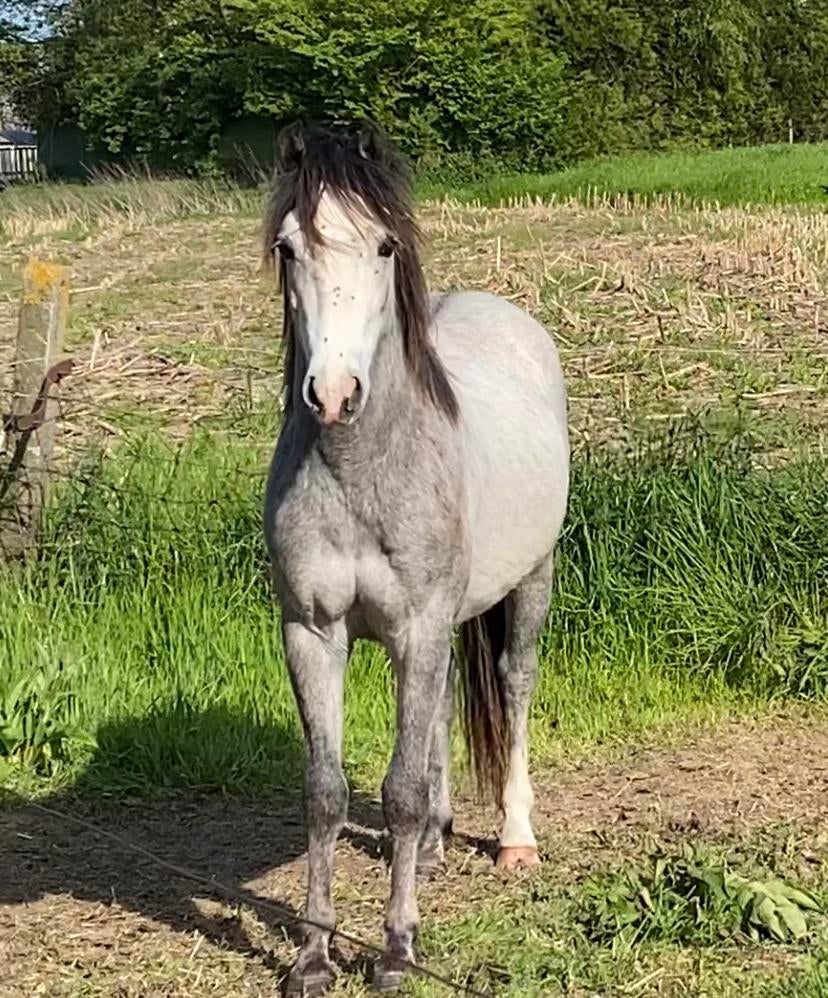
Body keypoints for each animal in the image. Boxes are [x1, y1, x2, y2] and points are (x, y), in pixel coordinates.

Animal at [262, 121, 570, 994]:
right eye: (289, 248)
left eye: (385, 245)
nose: (333, 394)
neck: (361, 471)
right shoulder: (312, 633)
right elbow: (326, 793)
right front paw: (313, 954)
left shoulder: (421, 626)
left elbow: (395, 792)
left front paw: (397, 948)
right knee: (436, 714)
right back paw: (434, 843)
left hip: (527, 584)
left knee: (514, 687)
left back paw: (514, 840)